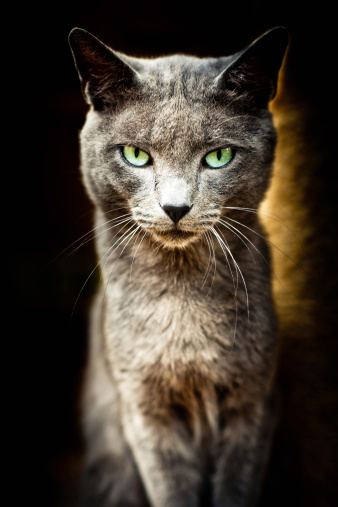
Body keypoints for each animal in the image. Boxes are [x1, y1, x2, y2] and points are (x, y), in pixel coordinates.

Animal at [68, 27, 288, 507]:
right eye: (135, 154)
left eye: (219, 156)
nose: (175, 207)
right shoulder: (143, 407)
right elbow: (170, 486)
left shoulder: (255, 401)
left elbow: (236, 484)